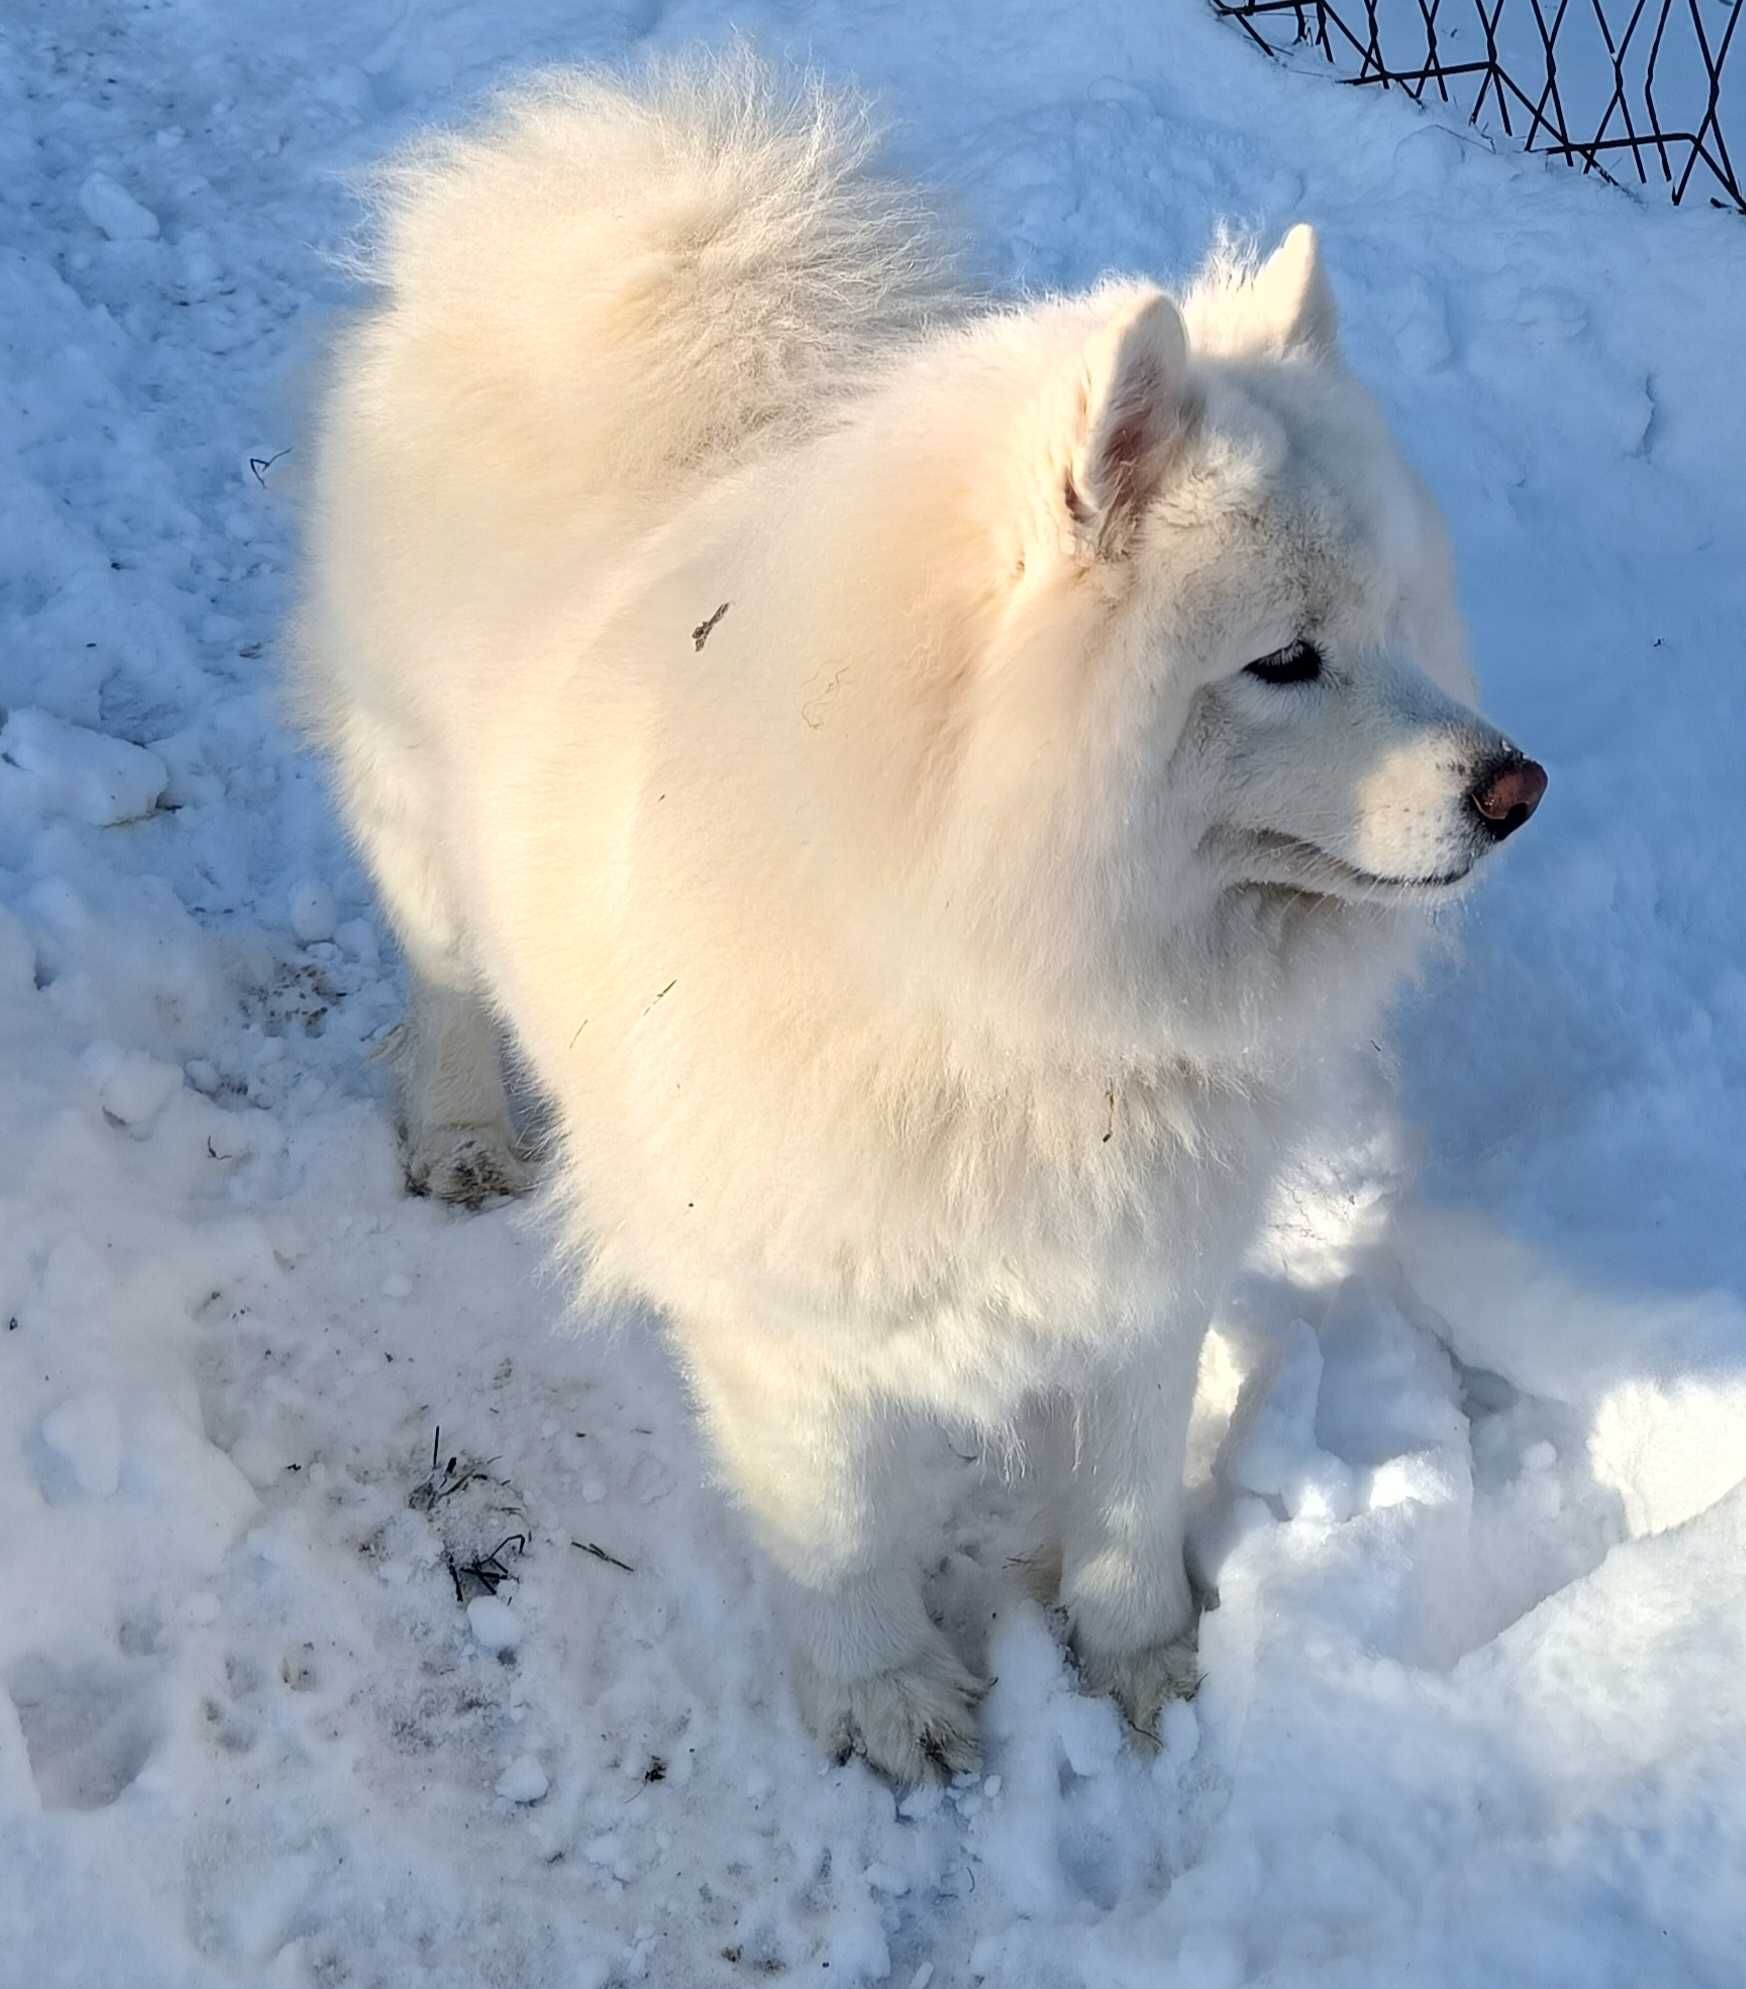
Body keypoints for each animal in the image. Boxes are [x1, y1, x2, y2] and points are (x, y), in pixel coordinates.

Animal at [294, 46, 1551, 1790]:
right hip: (414, 817)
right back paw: (463, 1128)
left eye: (1399, 622)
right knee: (445, 982)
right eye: (1283, 660)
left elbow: (1120, 1504)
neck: (1005, 971)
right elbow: (840, 1526)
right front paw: (886, 1696)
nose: (1516, 786)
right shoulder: (783, 1314)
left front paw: (1146, 1668)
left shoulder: (1142, 1269)